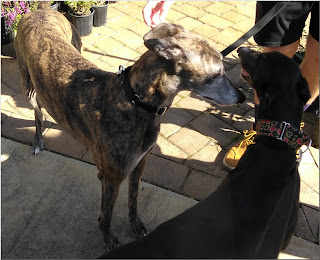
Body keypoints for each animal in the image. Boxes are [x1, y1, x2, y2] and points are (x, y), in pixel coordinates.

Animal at [14, 2, 245, 250]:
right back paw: (38, 141)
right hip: (28, 87)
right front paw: (109, 240)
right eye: (216, 74)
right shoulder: (111, 178)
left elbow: (133, 200)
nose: (242, 98)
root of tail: (41, 10)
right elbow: (105, 217)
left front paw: (136, 226)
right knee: (37, 112)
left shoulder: (139, 164)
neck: (134, 101)